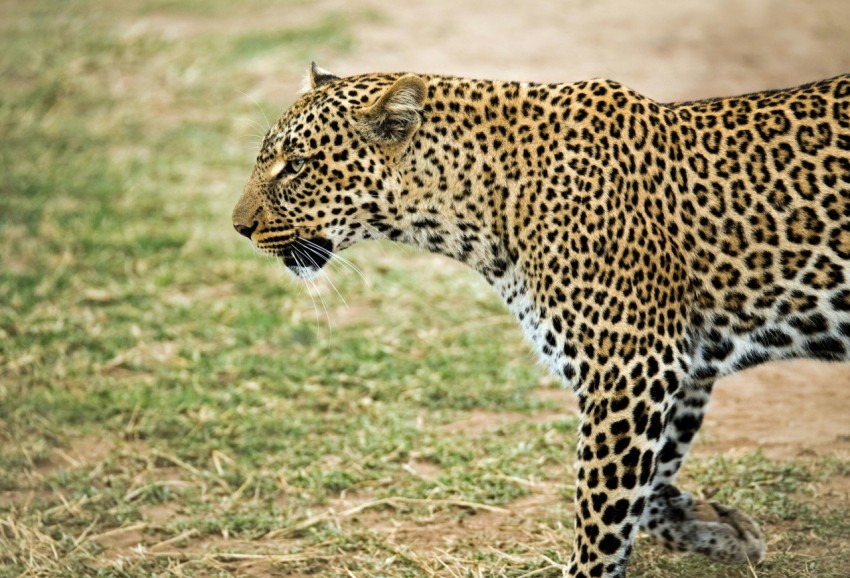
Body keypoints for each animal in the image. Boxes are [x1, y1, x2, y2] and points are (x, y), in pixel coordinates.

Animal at [232, 63, 850, 577]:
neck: (476, 210)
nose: (238, 227)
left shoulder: (629, 368)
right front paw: (719, 529)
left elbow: (602, 512)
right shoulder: (681, 368)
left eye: (296, 167)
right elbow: (648, 489)